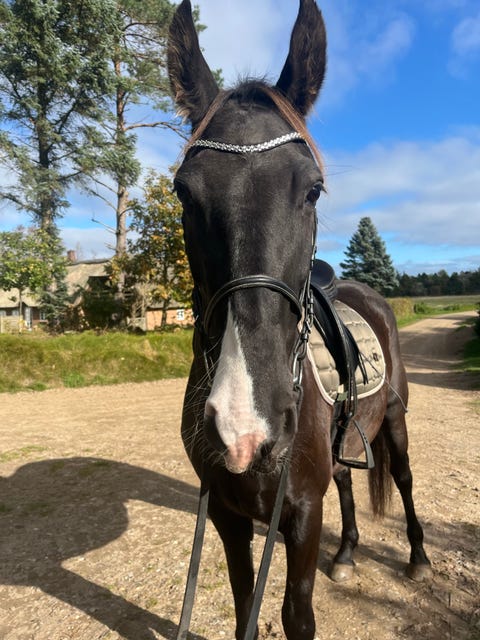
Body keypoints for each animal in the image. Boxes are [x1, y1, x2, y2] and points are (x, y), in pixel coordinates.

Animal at [167, 1, 432, 638]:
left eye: (312, 190)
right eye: (184, 193)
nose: (246, 426)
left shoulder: (303, 515)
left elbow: (297, 615)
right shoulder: (228, 516)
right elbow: (245, 605)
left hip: (394, 419)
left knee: (404, 480)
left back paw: (416, 556)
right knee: (347, 478)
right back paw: (349, 551)